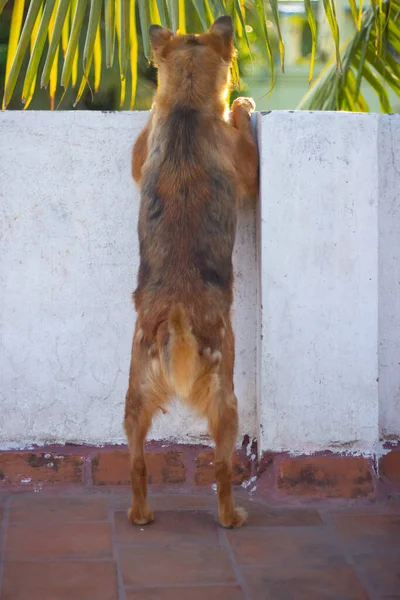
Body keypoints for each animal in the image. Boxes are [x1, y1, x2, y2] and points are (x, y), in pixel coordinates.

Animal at [124, 15, 260, 528]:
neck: (183, 107)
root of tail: (177, 320)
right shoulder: (248, 169)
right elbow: (242, 137)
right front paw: (240, 105)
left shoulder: (143, 147)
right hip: (227, 403)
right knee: (221, 468)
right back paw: (231, 516)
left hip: (133, 399)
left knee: (137, 462)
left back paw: (140, 514)